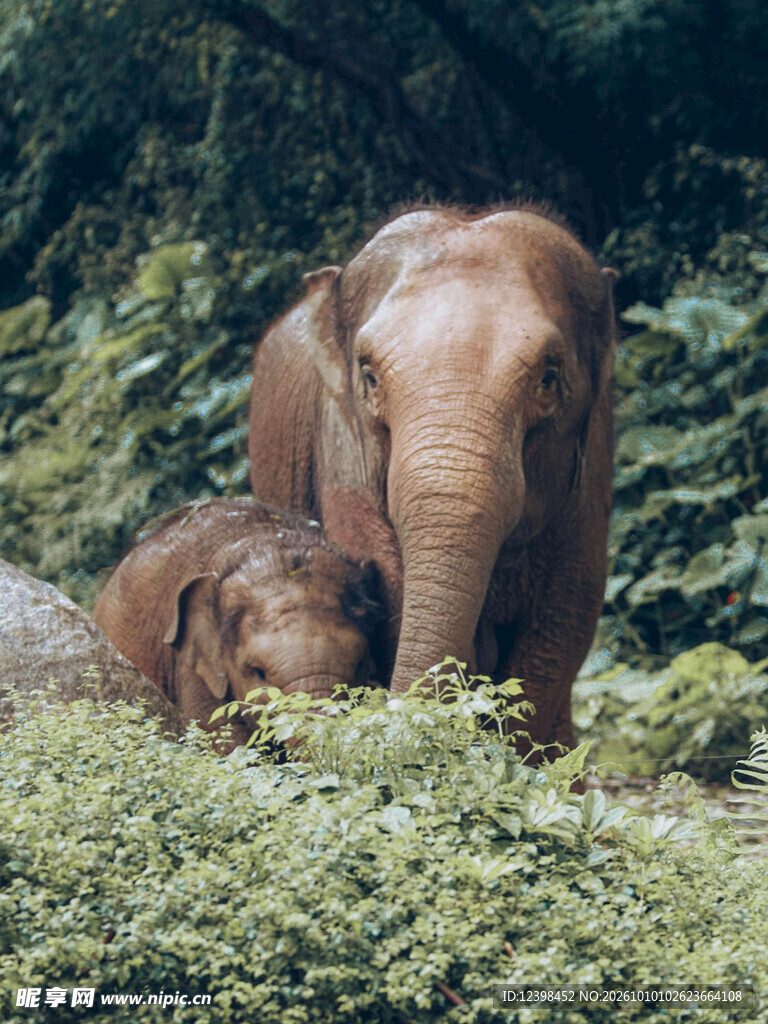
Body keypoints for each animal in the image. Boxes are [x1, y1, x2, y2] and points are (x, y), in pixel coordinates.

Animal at [248, 203, 616, 752]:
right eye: (369, 377)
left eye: (549, 379)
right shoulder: (342, 447)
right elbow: (389, 585)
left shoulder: (591, 471)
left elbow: (564, 618)